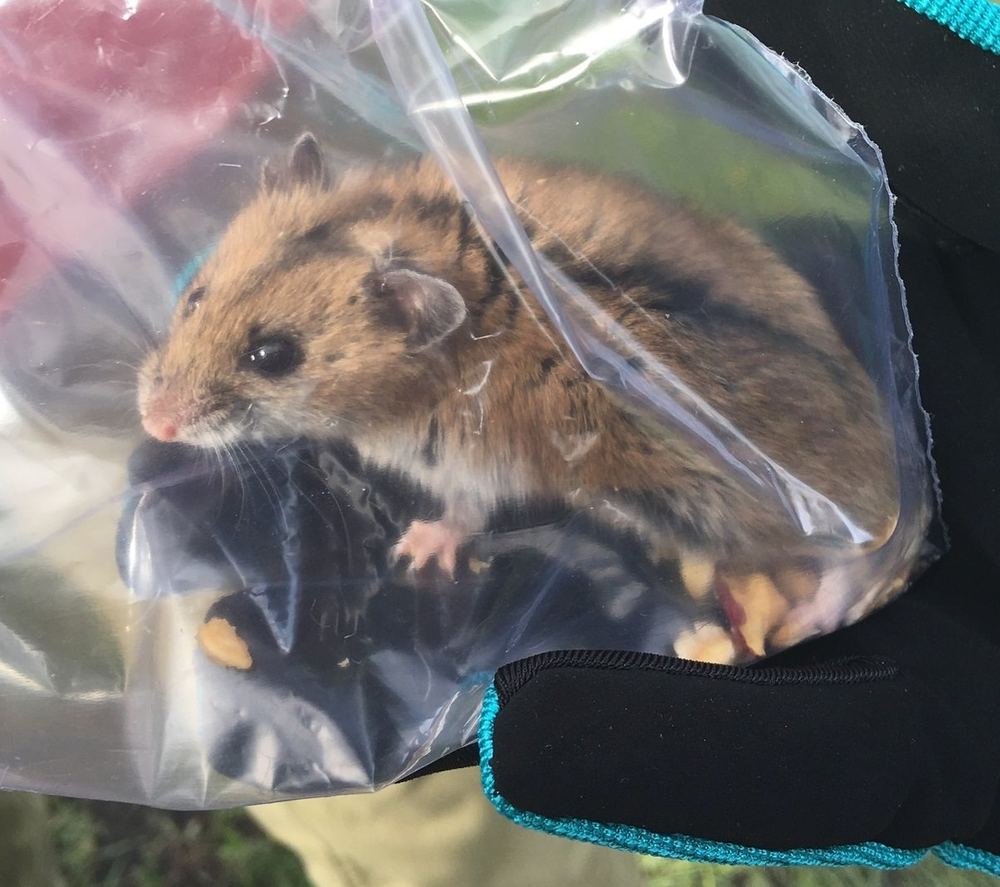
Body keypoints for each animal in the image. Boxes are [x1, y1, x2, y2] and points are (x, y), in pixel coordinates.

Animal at [139, 134, 905, 662]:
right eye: (195, 296)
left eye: (272, 356)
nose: (152, 423)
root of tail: (906, 490)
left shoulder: (471, 465)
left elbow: (463, 517)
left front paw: (415, 548)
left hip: (735, 512)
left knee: (856, 563)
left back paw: (814, 613)